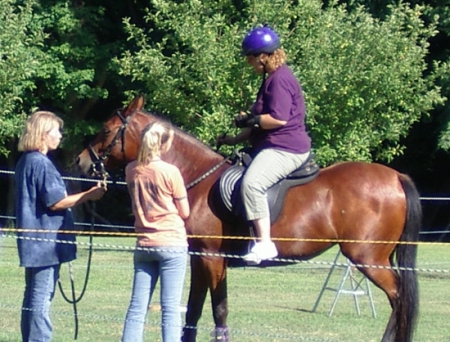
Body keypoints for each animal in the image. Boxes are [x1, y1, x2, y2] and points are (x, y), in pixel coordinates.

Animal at [76, 96, 422, 342]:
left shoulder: (212, 258)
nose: (81, 162)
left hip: (368, 258)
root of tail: (396, 177)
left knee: (399, 298)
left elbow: (219, 311)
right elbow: (195, 311)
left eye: (106, 130)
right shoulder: (201, 258)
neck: (198, 179)